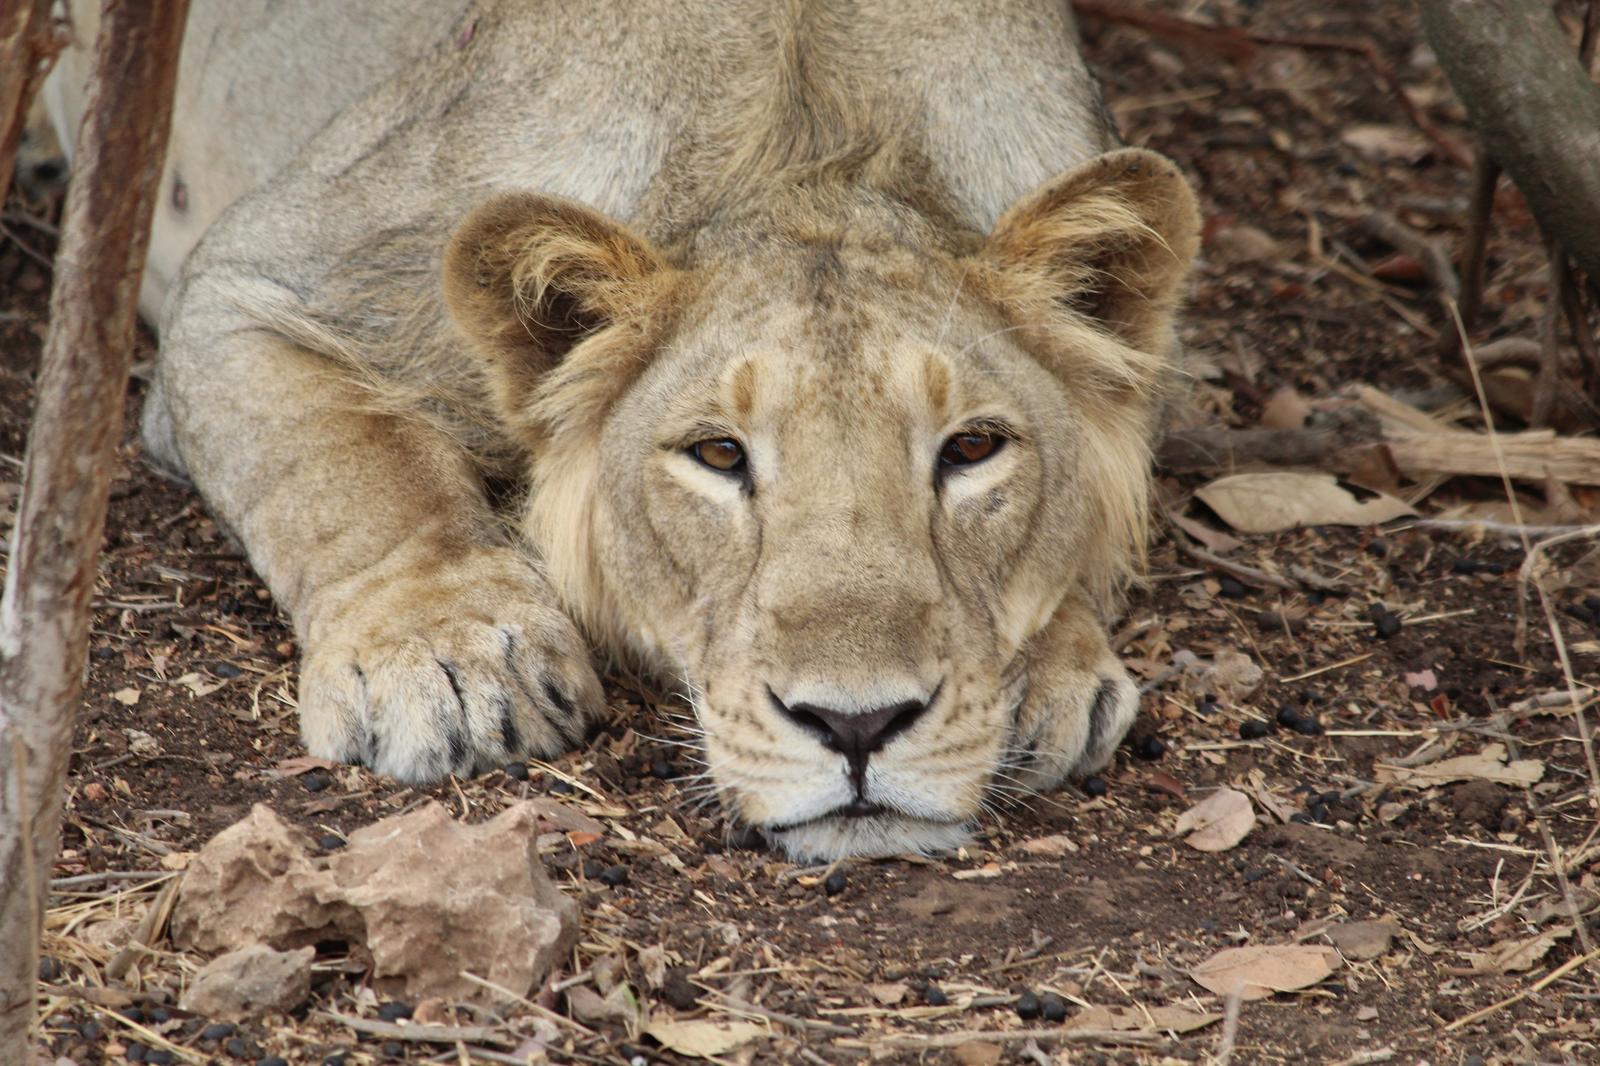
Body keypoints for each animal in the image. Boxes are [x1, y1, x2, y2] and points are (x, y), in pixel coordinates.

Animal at [48, 0, 1198, 859]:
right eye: (718, 455)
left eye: (971, 450)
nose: (857, 726)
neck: (816, 143)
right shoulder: (248, 286)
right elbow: (349, 463)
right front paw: (449, 656)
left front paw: (1052, 671)